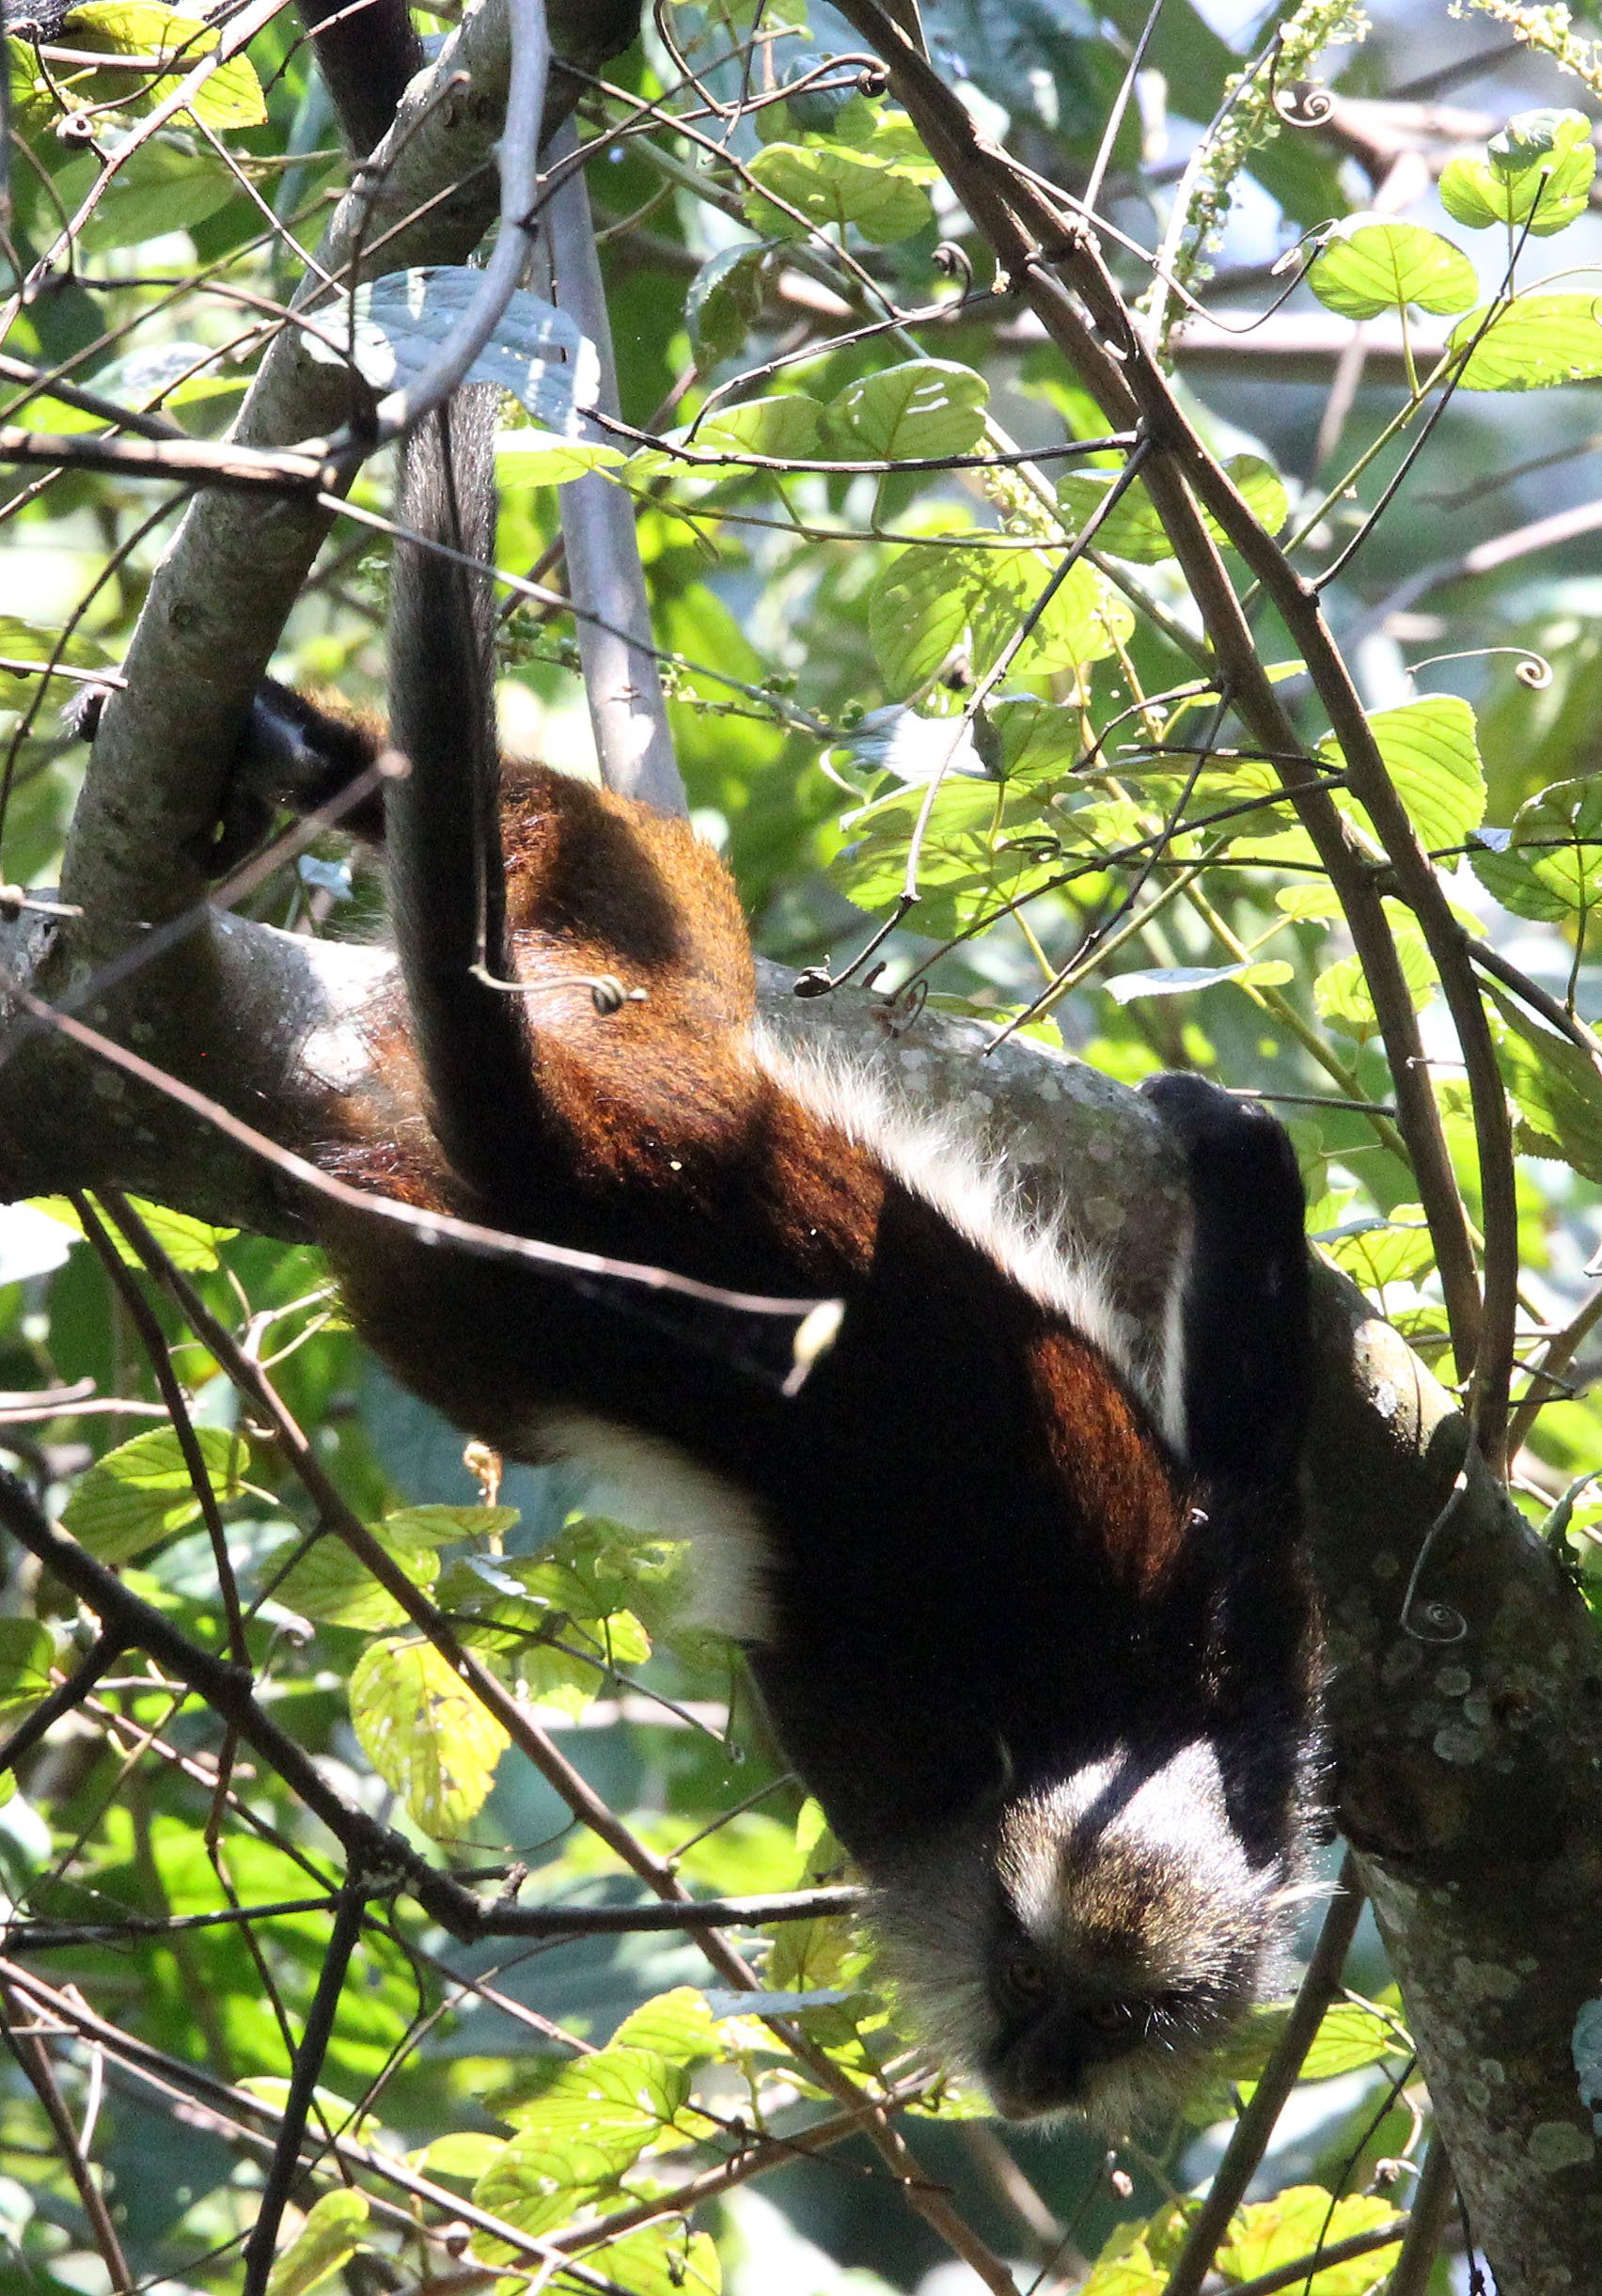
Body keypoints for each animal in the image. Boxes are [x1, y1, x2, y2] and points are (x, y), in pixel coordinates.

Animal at [201, 382, 1321, 2126]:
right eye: (1025, 1984)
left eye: (1112, 2021)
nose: (1036, 2075)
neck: (1120, 1717)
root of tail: (609, 1160)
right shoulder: (938, 1738)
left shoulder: (1263, 1695)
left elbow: (1251, 1466)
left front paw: (1233, 1150)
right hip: (572, 1155)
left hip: (605, 1046)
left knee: (600, 871)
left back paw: (320, 761)